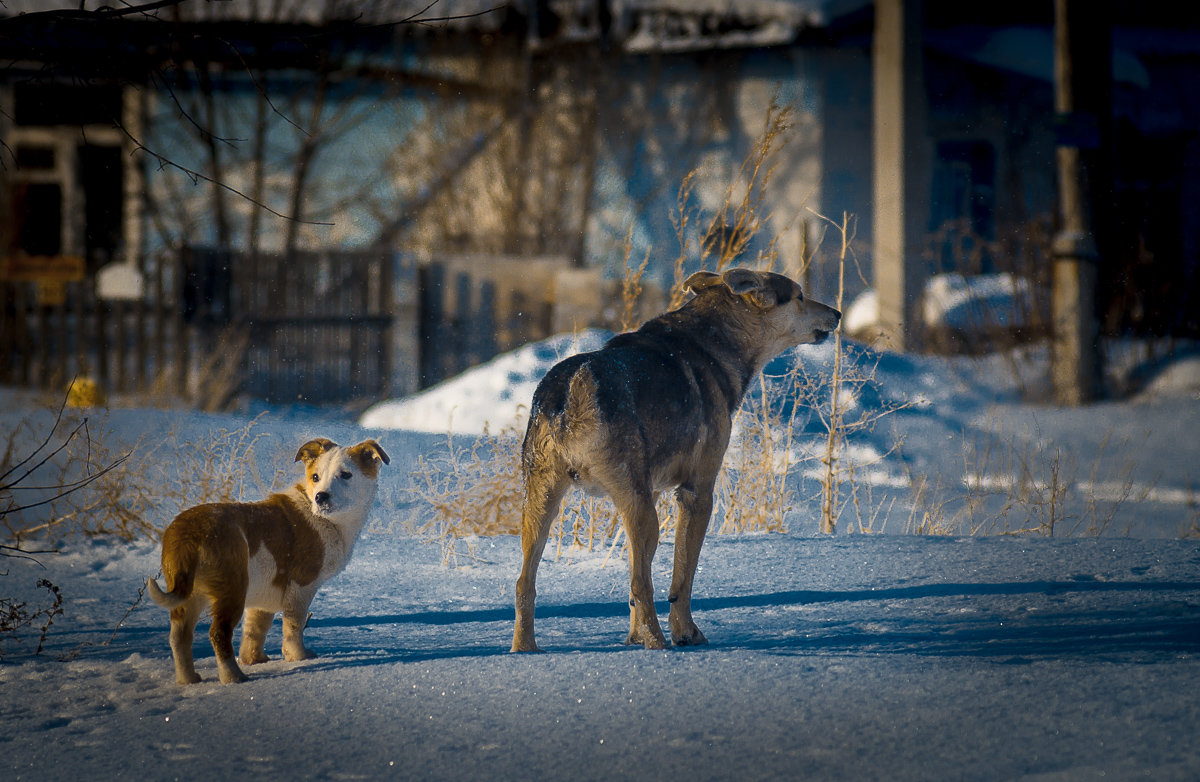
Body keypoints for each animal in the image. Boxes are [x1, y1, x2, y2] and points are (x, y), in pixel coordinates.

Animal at [144, 438, 388, 686]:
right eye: (315, 477)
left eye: (346, 475)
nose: (321, 497)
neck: (322, 517)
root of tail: (189, 533)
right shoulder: (301, 586)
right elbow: (293, 626)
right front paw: (298, 657)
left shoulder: (263, 598)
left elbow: (255, 629)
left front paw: (255, 660)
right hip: (231, 590)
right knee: (218, 634)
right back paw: (233, 677)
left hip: (190, 594)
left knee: (179, 637)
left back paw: (188, 680)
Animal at [511, 266, 840, 652]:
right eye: (800, 296)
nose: (837, 314)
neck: (717, 343)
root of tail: (569, 394)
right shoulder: (697, 491)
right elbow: (682, 577)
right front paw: (686, 634)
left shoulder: (653, 491)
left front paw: (633, 638)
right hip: (638, 508)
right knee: (640, 584)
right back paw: (658, 644)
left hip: (543, 500)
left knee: (525, 584)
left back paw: (524, 650)